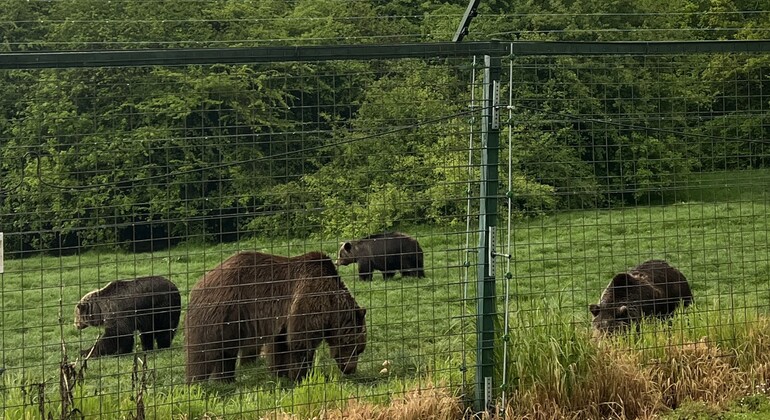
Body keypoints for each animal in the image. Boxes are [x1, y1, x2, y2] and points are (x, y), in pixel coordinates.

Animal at [184, 251, 367, 383]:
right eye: (358, 348)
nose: (350, 370)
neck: (332, 306)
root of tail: (201, 282)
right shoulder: (309, 300)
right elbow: (300, 341)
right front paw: (302, 375)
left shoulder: (282, 318)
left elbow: (280, 344)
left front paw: (281, 373)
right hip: (223, 310)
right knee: (204, 348)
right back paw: (196, 380)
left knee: (227, 350)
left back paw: (225, 379)